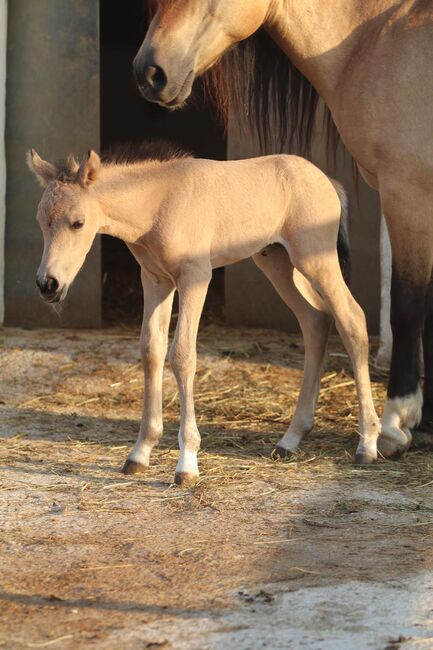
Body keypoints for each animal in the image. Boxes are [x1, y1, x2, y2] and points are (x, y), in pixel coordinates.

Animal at [27, 144, 378, 484]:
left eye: (78, 222)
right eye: (40, 221)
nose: (48, 285)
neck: (158, 205)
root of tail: (327, 181)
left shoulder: (195, 277)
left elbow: (182, 355)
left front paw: (187, 465)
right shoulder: (155, 280)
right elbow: (151, 350)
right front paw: (140, 453)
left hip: (315, 259)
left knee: (352, 320)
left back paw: (368, 444)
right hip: (276, 261)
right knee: (315, 320)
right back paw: (290, 439)